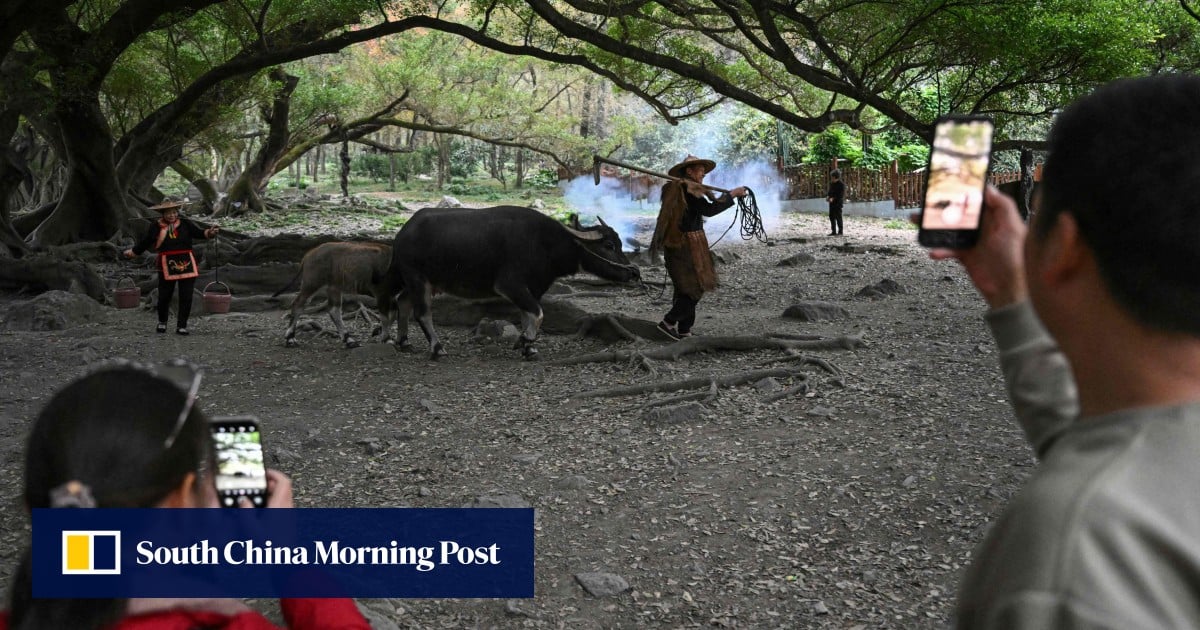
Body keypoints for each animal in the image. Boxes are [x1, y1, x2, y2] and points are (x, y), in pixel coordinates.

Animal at [384, 206, 643, 357]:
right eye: (609, 245)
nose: (633, 273)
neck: (546, 243)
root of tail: (402, 234)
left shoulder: (533, 289)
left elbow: (528, 315)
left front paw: (529, 346)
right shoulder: (509, 285)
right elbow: (538, 313)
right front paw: (525, 340)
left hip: (418, 282)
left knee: (402, 302)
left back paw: (403, 341)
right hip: (418, 279)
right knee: (422, 313)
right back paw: (437, 348)